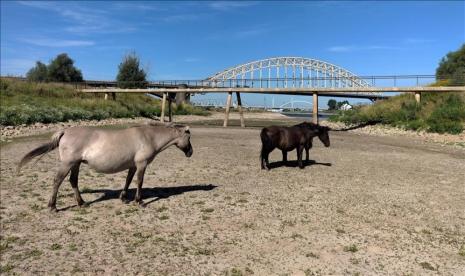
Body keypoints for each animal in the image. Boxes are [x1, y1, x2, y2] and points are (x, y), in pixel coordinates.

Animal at [17, 123, 192, 211]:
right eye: (189, 137)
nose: (190, 152)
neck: (149, 137)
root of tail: (65, 131)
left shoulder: (133, 165)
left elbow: (128, 181)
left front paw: (123, 198)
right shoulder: (141, 164)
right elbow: (140, 182)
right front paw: (140, 201)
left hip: (75, 164)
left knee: (73, 181)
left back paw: (82, 203)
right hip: (68, 164)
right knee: (57, 181)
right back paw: (53, 207)